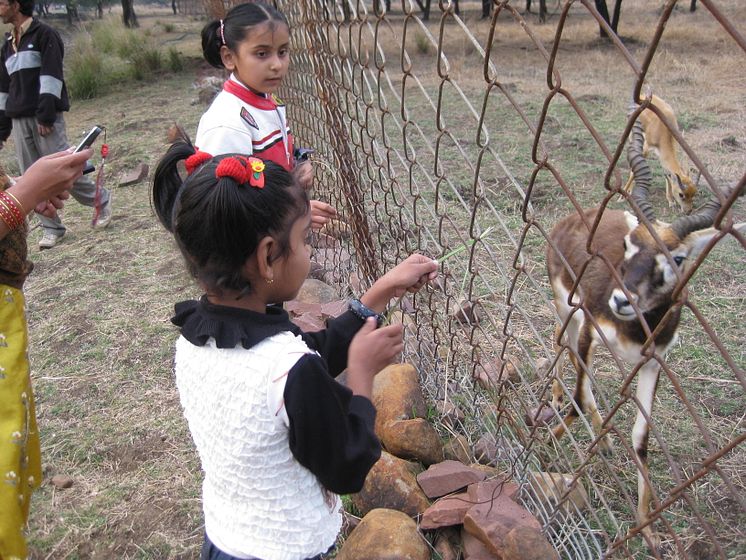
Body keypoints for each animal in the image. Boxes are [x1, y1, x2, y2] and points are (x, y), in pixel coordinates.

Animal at [544, 116, 740, 548]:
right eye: (629, 243)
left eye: (678, 258)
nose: (621, 299)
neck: (634, 328)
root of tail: (574, 217)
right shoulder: (592, 329)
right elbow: (581, 395)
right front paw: (551, 439)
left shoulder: (654, 361)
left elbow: (641, 438)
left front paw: (646, 523)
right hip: (567, 307)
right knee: (562, 343)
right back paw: (559, 400)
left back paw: (602, 438)